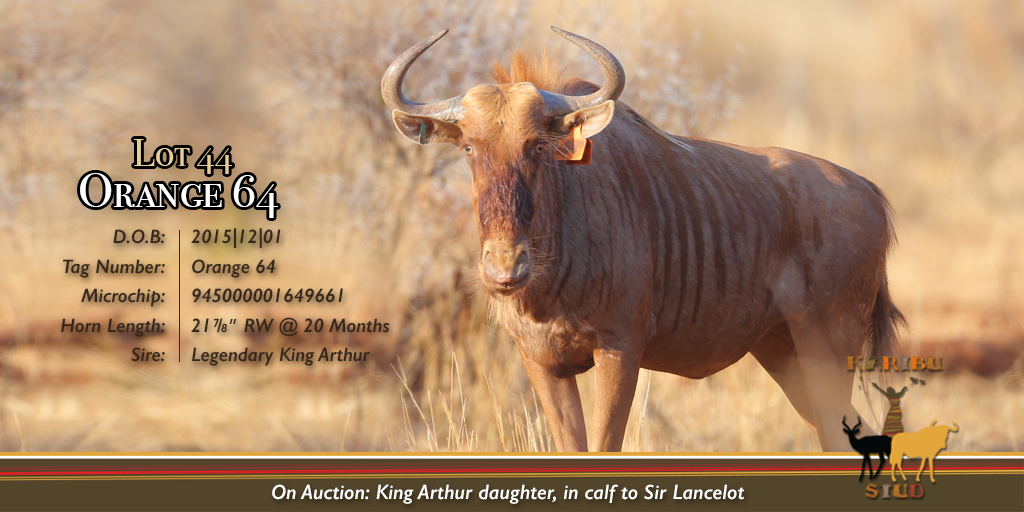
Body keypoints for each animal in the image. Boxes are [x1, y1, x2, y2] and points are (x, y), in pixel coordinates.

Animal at [381, 27, 904, 451]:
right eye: (469, 147)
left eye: (537, 146)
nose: (505, 269)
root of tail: (868, 192)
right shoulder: (542, 363)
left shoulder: (620, 351)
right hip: (786, 355)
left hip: (828, 353)